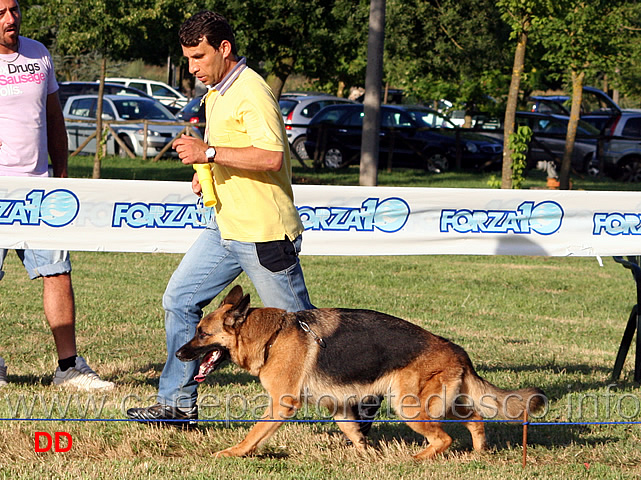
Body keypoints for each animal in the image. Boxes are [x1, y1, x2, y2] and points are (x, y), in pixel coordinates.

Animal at [176, 286, 544, 460]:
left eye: (202, 334)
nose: (179, 354)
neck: (271, 336)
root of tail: (459, 351)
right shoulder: (338, 405)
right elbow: (353, 432)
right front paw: (367, 453)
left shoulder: (281, 403)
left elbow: (254, 433)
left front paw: (234, 453)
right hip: (438, 403)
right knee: (475, 420)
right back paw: (479, 454)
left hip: (409, 407)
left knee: (444, 438)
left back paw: (416, 458)